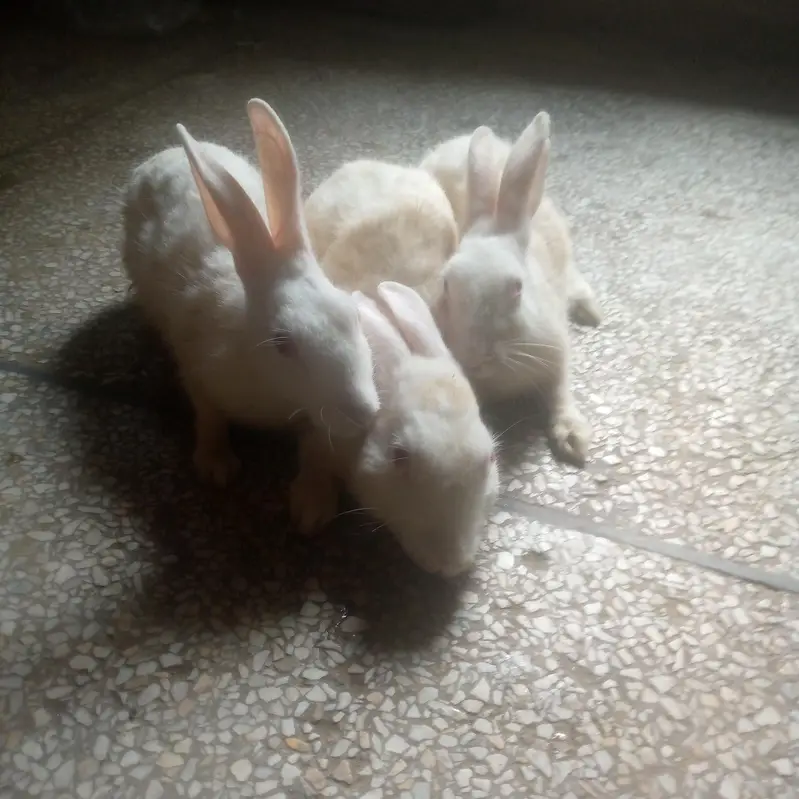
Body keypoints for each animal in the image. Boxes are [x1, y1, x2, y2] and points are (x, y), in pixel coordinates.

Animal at [122, 98, 380, 487]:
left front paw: (312, 496)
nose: (363, 414)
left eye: (352, 315)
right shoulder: (198, 372)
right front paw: (217, 468)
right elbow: (209, 417)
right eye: (282, 343)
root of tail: (158, 158)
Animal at [289, 281, 500, 578]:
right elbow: (311, 459)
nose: (451, 565)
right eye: (399, 456)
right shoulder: (323, 437)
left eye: (490, 458)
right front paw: (310, 511)